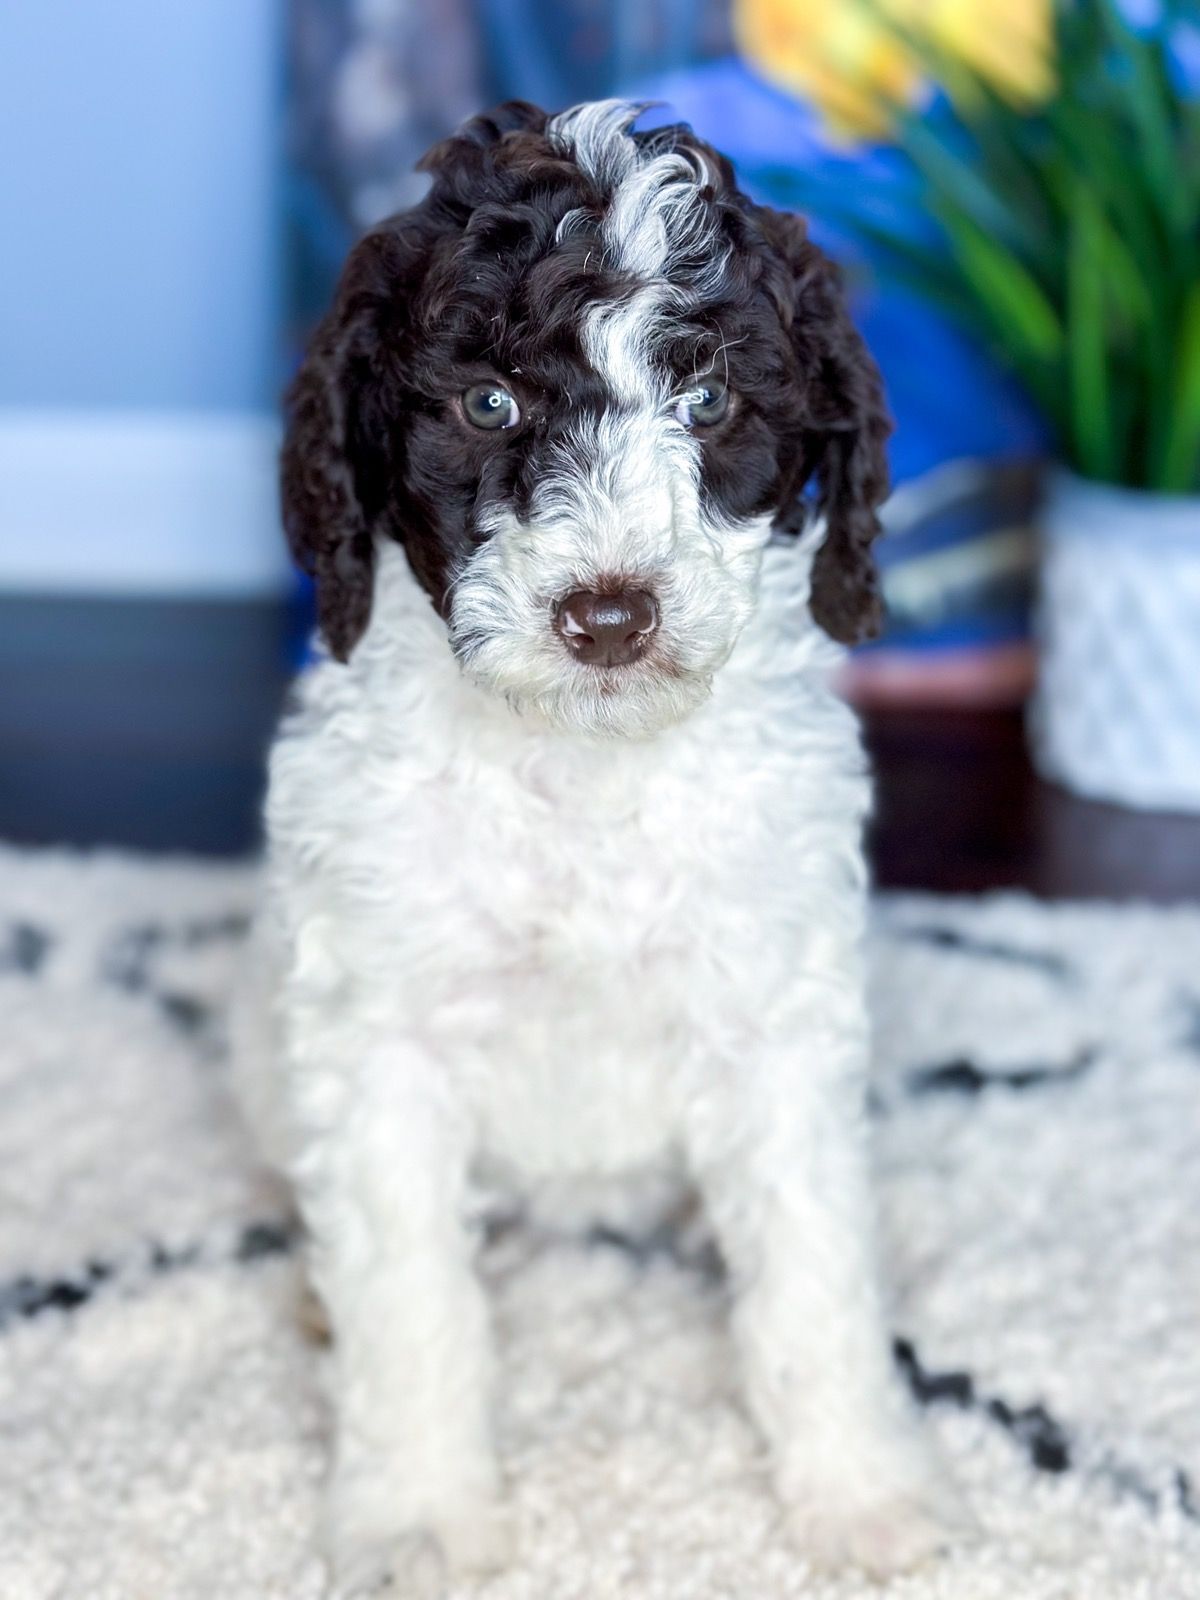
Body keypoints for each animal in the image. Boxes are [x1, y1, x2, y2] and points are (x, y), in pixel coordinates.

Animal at [232, 103, 966, 1600]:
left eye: (711, 403)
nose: (609, 615)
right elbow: (408, 1291)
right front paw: (415, 1516)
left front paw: (863, 1492)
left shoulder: (779, 1023)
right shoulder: (379, 1041)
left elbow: (812, 1273)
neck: (582, 766)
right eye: (489, 406)